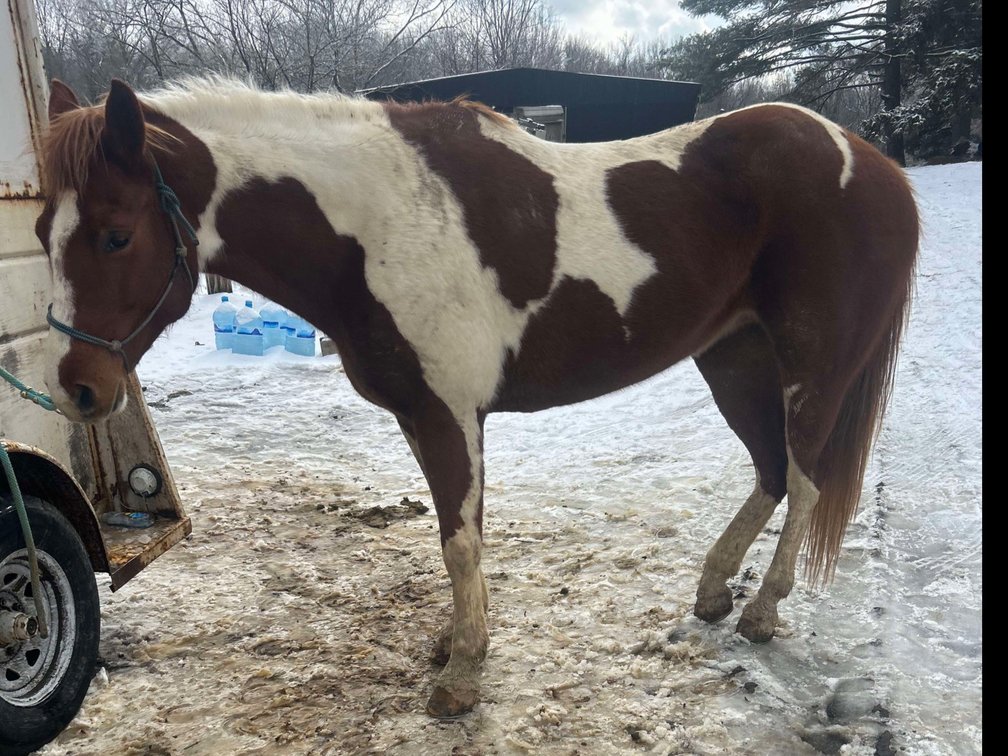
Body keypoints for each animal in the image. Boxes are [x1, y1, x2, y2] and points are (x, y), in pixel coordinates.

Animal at [35, 77, 918, 718]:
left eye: (116, 234)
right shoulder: (426, 418)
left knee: (805, 480)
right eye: (43, 231)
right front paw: (458, 643)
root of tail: (874, 163)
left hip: (811, 369)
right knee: (771, 472)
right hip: (732, 356)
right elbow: (457, 537)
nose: (78, 389)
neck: (373, 226)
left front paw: (461, 677)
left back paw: (762, 611)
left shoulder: (449, 415)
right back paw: (711, 594)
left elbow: (460, 542)